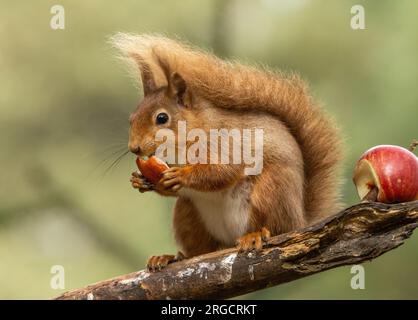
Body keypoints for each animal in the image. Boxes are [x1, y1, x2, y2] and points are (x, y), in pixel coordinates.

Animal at [111, 34, 342, 270]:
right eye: (131, 118)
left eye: (162, 118)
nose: (134, 148)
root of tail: (301, 220)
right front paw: (141, 181)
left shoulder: (227, 144)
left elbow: (223, 171)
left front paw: (181, 175)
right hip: (188, 214)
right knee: (201, 250)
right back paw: (171, 257)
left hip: (272, 190)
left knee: (277, 228)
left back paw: (255, 235)